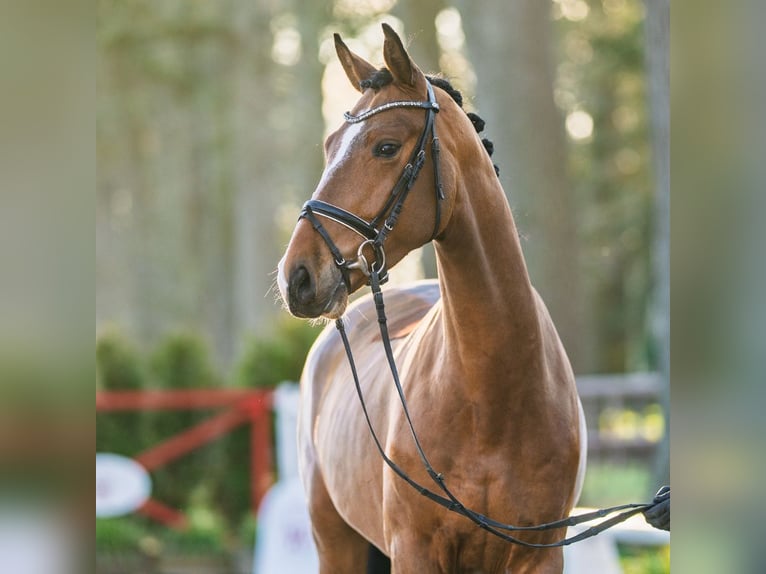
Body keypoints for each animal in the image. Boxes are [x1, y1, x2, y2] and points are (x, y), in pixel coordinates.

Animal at [277, 23, 587, 573]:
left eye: (385, 146)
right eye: (331, 145)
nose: (298, 277)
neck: (493, 399)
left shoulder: (541, 556)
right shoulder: (414, 551)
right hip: (335, 541)